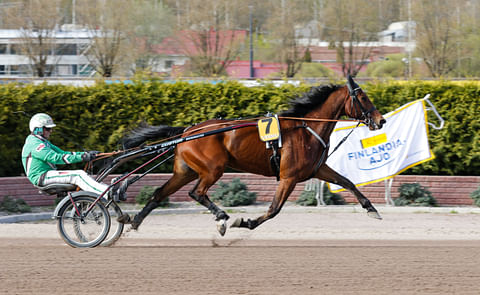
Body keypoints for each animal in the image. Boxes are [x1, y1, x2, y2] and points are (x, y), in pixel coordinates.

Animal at [119, 76, 386, 236]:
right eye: (363, 98)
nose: (380, 120)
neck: (305, 127)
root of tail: (188, 131)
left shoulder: (317, 169)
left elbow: (348, 182)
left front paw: (371, 208)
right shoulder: (289, 177)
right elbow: (274, 209)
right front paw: (245, 222)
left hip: (185, 171)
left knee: (159, 193)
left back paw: (135, 221)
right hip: (213, 169)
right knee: (197, 193)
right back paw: (222, 217)